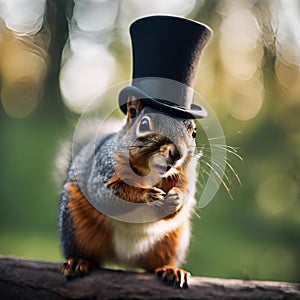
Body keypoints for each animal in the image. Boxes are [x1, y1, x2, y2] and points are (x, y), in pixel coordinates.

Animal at [57, 96, 200, 288]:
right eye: (144, 124)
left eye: (194, 132)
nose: (177, 154)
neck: (152, 172)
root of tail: (124, 258)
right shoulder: (102, 172)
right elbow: (109, 197)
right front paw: (147, 195)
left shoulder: (186, 176)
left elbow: (182, 196)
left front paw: (176, 198)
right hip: (77, 226)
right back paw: (79, 261)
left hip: (172, 241)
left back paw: (170, 269)